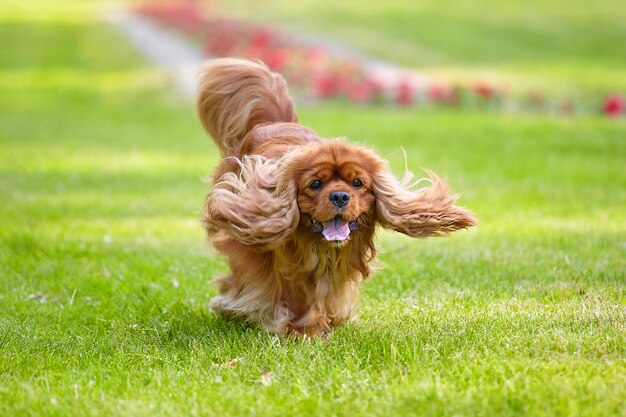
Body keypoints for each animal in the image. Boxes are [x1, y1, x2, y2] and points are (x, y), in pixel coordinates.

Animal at [195, 57, 472, 334]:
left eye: (358, 182)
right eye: (315, 184)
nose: (339, 196)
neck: (321, 251)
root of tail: (274, 122)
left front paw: (322, 321)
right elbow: (279, 290)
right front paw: (299, 328)